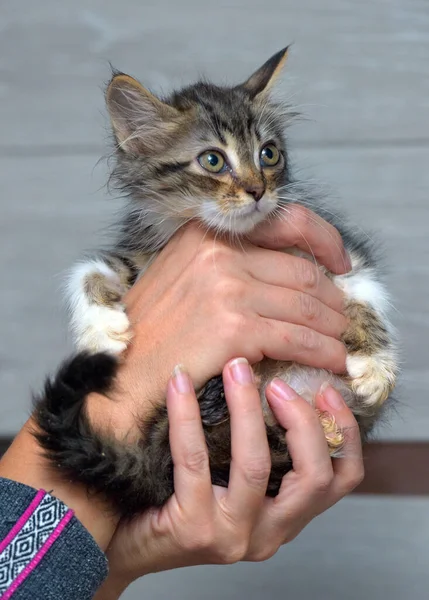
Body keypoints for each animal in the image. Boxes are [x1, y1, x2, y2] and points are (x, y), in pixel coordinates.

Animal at [34, 48, 398, 516]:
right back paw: (211, 406)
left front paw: (375, 364)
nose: (258, 191)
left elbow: (365, 288)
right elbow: (89, 269)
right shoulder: (140, 256)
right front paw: (99, 332)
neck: (238, 237)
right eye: (213, 160)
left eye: (268, 154)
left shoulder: (333, 245)